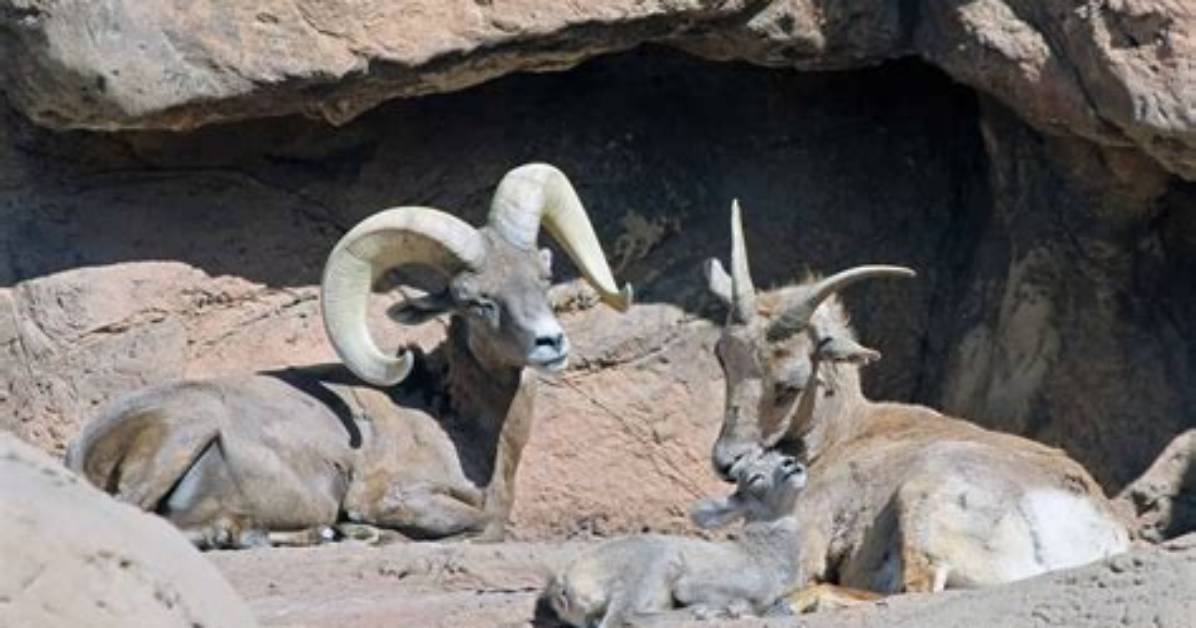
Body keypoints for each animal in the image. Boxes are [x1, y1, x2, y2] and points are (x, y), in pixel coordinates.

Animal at [65, 163, 632, 548]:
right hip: (187, 429)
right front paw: (369, 532)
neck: (460, 423)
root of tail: (85, 442)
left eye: (542, 276)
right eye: (478, 301)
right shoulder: (388, 495)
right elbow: (483, 523)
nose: (550, 343)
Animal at [547, 450, 807, 627]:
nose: (791, 463)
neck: (762, 558)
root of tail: (564, 584)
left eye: (781, 455)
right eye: (755, 479)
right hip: (653, 567)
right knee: (624, 617)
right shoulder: (690, 586)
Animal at [701, 201, 1129, 596]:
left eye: (790, 384)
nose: (727, 461)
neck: (845, 435)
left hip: (922, 501)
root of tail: (1095, 532)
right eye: (723, 358)